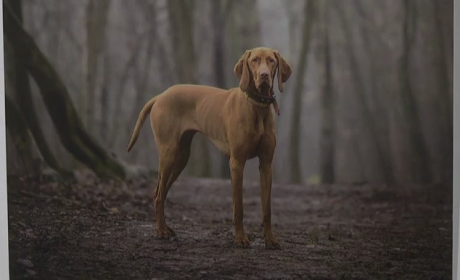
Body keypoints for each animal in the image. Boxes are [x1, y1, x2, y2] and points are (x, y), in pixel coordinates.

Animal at [126, 46, 292, 249]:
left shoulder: (267, 164)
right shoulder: (236, 162)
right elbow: (238, 207)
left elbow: (267, 208)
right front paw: (240, 238)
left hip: (181, 158)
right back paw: (161, 231)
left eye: (271, 61)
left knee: (160, 192)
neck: (256, 106)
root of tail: (161, 95)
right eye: (254, 60)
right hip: (168, 153)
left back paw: (165, 227)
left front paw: (270, 240)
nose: (264, 75)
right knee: (158, 194)